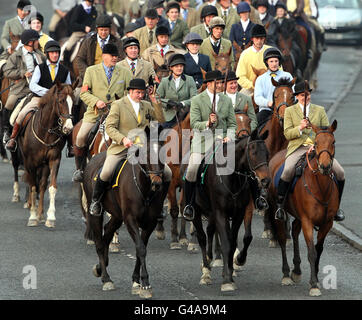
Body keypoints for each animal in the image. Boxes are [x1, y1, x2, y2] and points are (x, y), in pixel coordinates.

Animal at [14, 82, 76, 228]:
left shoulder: (54, 159)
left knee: (42, 185)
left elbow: (51, 187)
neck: (47, 131)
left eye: (74, 102)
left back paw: (40, 214)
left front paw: (50, 217)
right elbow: (32, 186)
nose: (68, 128)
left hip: (44, 165)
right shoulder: (30, 162)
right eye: (61, 101)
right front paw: (32, 216)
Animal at [84, 124, 170, 298]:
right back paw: (106, 278)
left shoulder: (150, 222)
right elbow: (141, 248)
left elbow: (140, 248)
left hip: (117, 216)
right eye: (146, 153)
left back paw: (100, 268)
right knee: (99, 242)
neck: (145, 190)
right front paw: (145, 284)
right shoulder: (130, 220)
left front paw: (137, 281)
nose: (157, 183)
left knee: (106, 235)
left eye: (162, 153)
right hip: (95, 213)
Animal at [182, 129, 270, 290]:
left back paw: (210, 260)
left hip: (211, 213)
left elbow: (236, 240)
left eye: (267, 153)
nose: (266, 181)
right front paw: (227, 280)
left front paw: (235, 264)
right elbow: (226, 243)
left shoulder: (239, 213)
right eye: (253, 152)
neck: (232, 177)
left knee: (210, 231)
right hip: (196, 212)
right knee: (202, 237)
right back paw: (206, 271)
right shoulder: (221, 213)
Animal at [266, 120, 340, 298]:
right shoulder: (308, 221)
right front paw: (313, 285)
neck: (321, 187)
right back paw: (286, 274)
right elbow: (311, 251)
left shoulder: (327, 223)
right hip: (278, 211)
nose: (325, 166)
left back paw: (297, 270)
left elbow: (318, 249)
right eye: (316, 143)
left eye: (333, 142)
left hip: (298, 216)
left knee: (294, 231)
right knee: (281, 237)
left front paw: (317, 279)